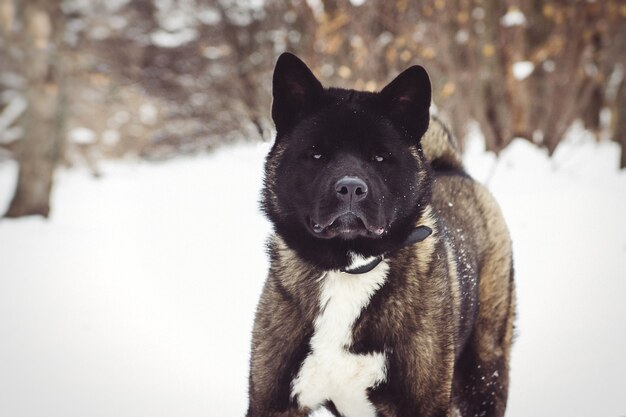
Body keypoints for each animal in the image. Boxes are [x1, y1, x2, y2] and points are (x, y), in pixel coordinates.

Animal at [246, 52, 516, 416]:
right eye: (316, 153)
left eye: (380, 156)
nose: (350, 188)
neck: (348, 269)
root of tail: (454, 169)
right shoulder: (272, 404)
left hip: (484, 372)